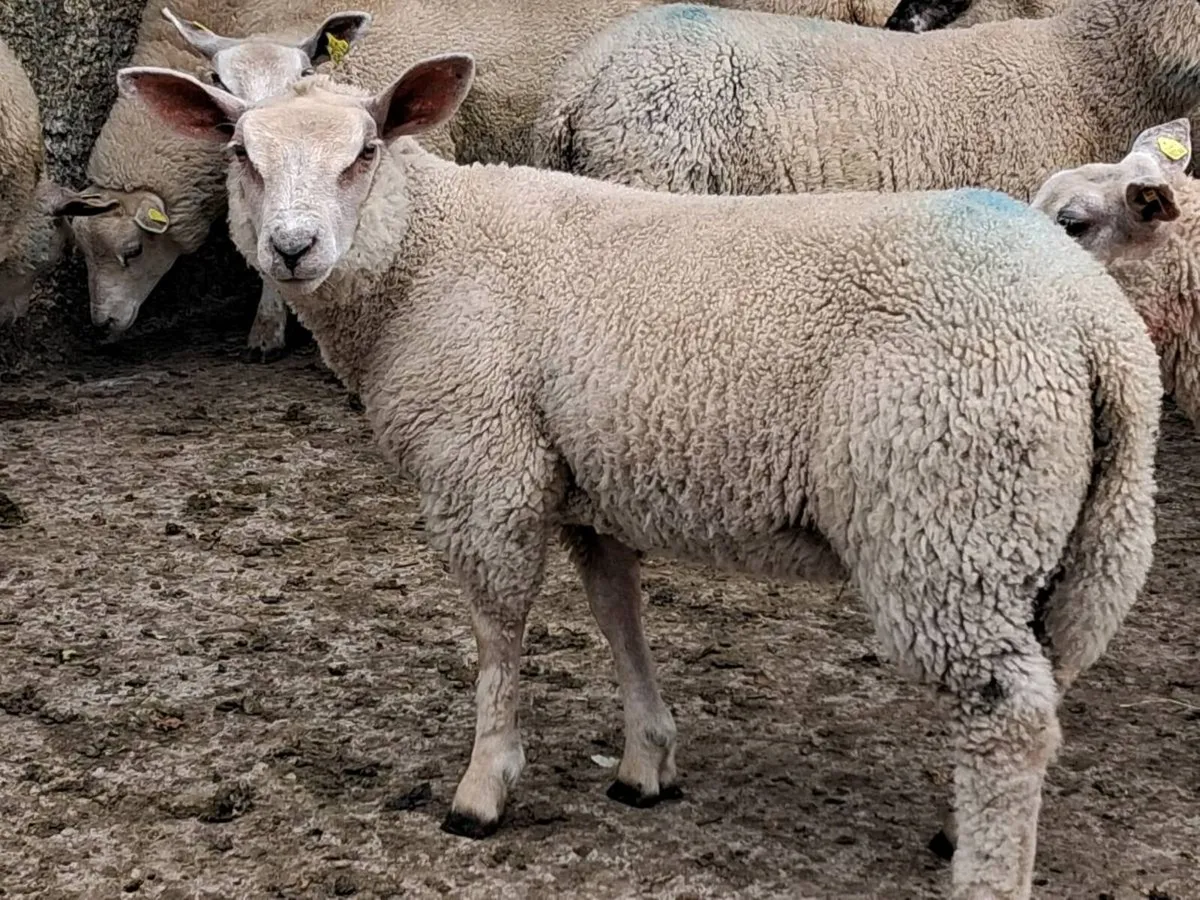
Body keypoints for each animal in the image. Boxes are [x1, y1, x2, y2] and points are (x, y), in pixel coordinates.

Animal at [118, 55, 1162, 900]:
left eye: (366, 151)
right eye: (241, 152)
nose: (294, 249)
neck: (426, 256)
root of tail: (1097, 330)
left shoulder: (482, 464)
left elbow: (498, 631)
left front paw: (483, 787)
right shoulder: (588, 477)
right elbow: (617, 614)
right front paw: (645, 764)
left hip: (949, 511)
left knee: (1005, 715)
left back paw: (985, 870)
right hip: (1073, 537)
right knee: (1042, 690)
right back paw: (959, 826)